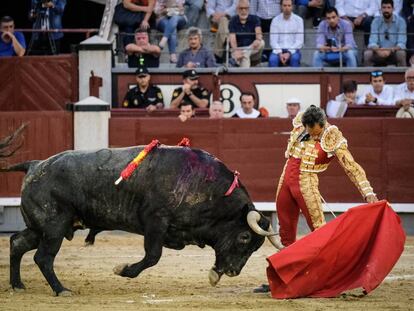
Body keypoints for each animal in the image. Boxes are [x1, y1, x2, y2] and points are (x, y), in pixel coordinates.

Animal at [0, 137, 284, 298]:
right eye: (244, 237)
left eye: (255, 247)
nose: (233, 272)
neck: (205, 186)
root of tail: (35, 165)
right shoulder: (154, 221)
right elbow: (152, 256)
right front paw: (123, 270)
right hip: (54, 227)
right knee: (43, 257)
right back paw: (62, 290)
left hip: (40, 228)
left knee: (17, 243)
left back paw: (18, 285)